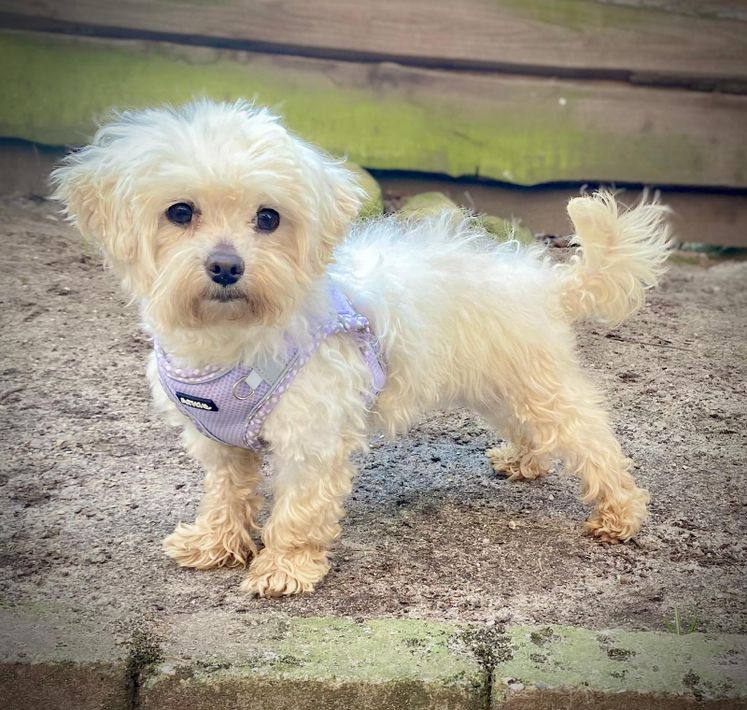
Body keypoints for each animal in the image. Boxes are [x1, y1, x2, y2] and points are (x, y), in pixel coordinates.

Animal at [51, 99, 671, 597]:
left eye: (268, 218)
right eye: (180, 211)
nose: (227, 266)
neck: (233, 340)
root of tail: (545, 280)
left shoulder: (313, 437)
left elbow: (298, 511)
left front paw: (283, 568)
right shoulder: (219, 443)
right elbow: (227, 495)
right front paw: (214, 543)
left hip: (538, 385)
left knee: (592, 439)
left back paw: (620, 512)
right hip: (497, 387)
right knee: (534, 432)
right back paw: (524, 461)